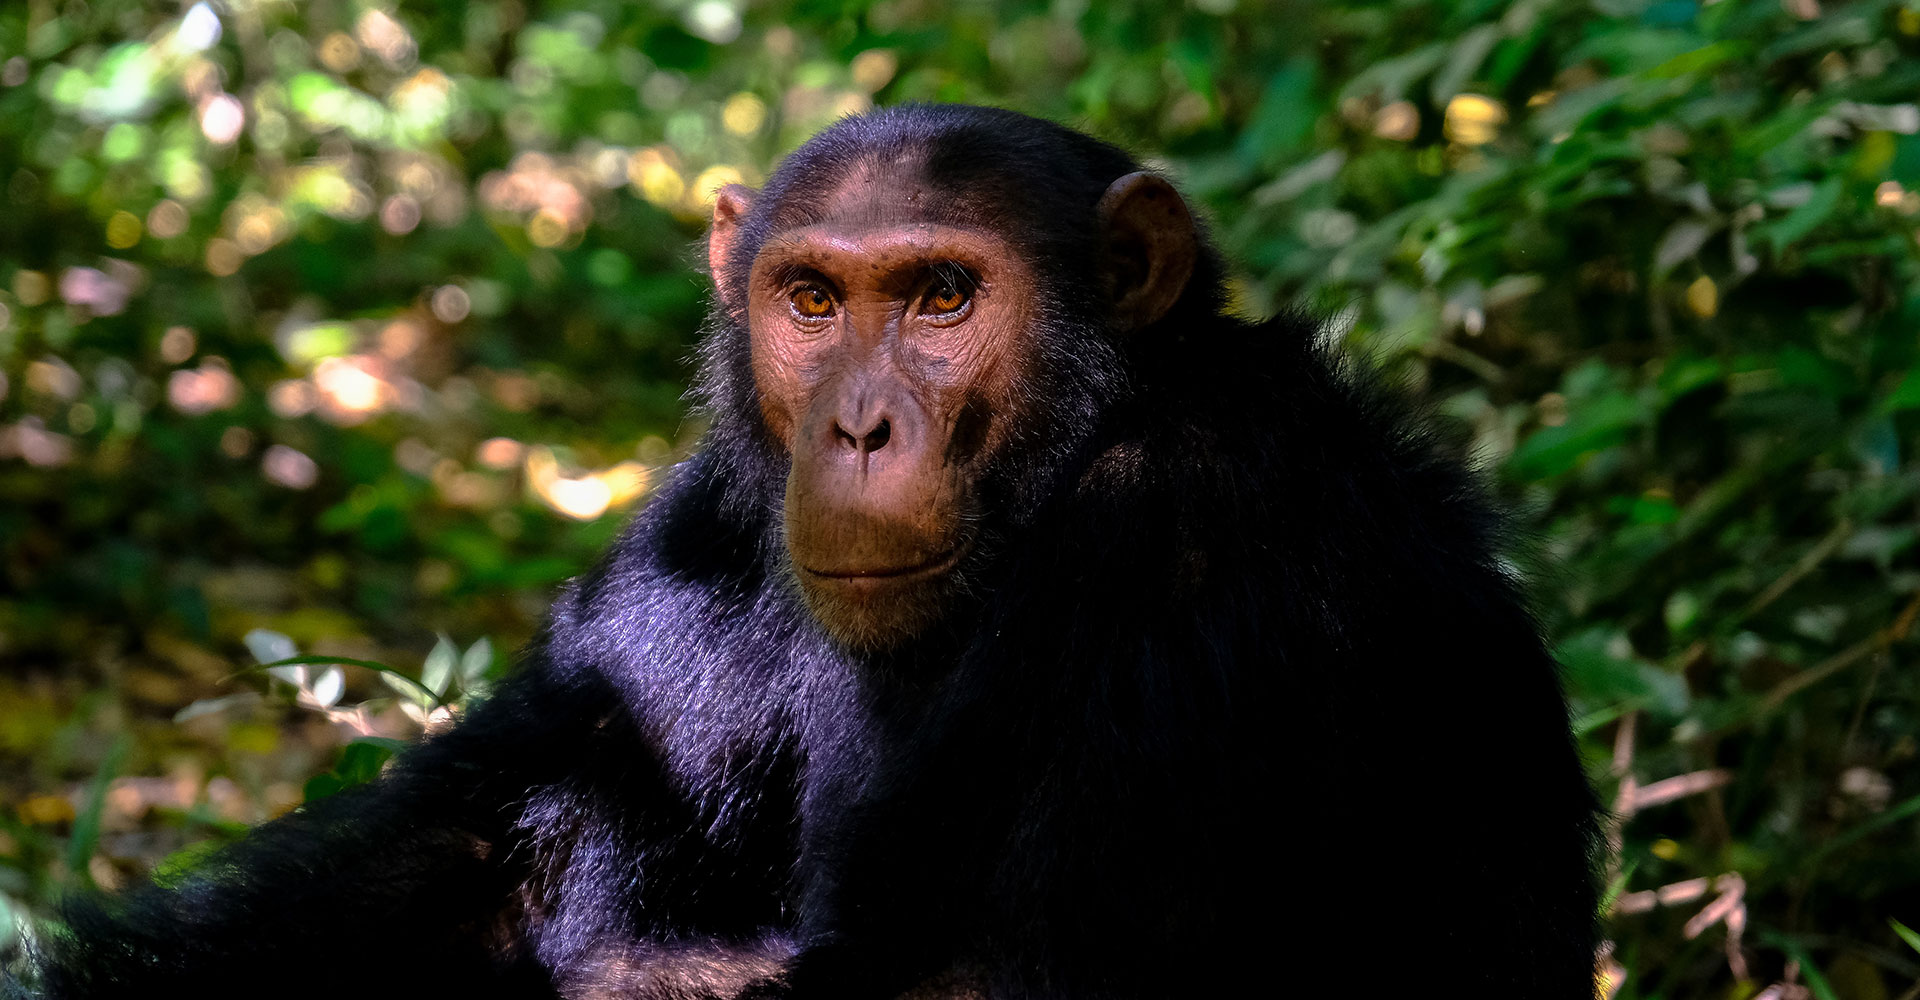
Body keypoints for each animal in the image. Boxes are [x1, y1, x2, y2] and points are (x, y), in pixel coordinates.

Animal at [22, 103, 1597, 998]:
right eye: (815, 300)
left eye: (947, 295)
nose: (856, 426)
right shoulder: (701, 532)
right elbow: (452, 872)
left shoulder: (1197, 537)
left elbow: (991, 978)